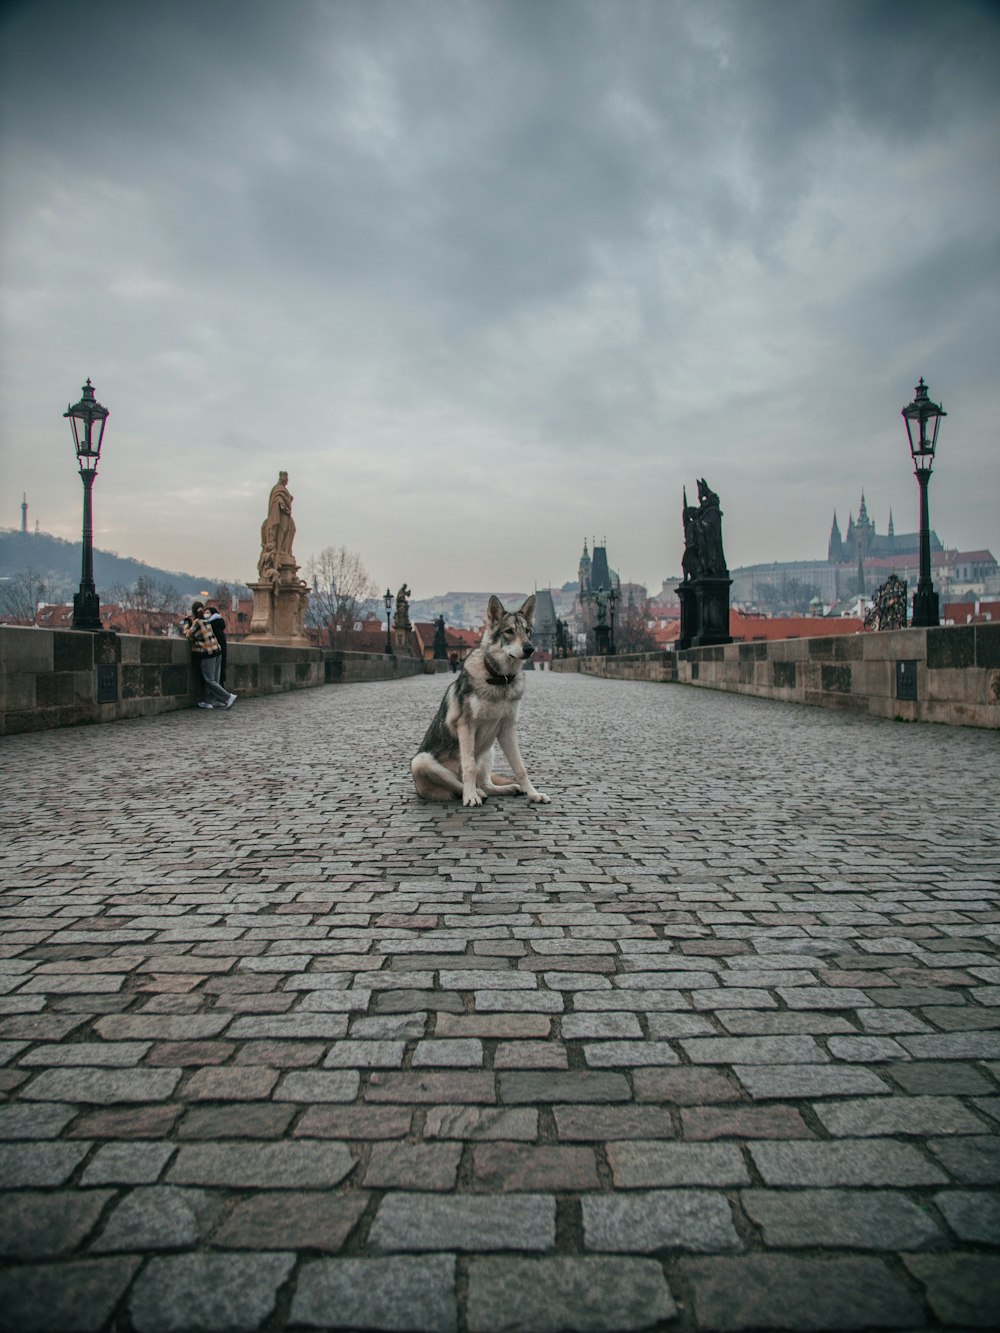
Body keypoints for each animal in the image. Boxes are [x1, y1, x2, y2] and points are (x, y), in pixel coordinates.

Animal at [413, 597, 557, 805]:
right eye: (509, 631)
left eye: (527, 630)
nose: (529, 649)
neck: (500, 679)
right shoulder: (466, 725)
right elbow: (469, 767)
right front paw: (470, 796)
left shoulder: (507, 728)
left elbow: (520, 767)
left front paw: (533, 793)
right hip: (421, 761)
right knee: (459, 784)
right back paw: (475, 793)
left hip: (489, 751)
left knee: (486, 784)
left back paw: (509, 788)